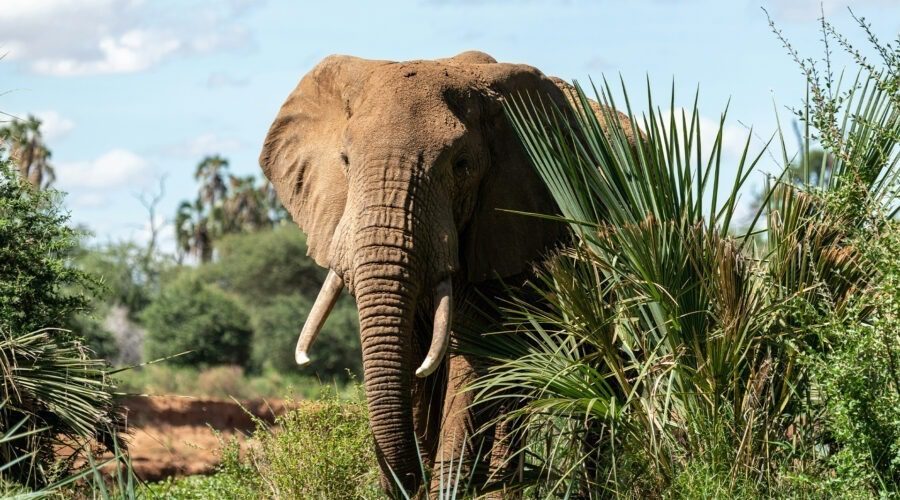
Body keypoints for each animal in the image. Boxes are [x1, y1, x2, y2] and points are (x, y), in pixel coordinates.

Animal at [259, 50, 634, 496]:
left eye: (461, 165)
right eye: (345, 162)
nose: (411, 481)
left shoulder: (507, 223)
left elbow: (471, 359)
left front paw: (446, 488)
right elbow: (414, 357)